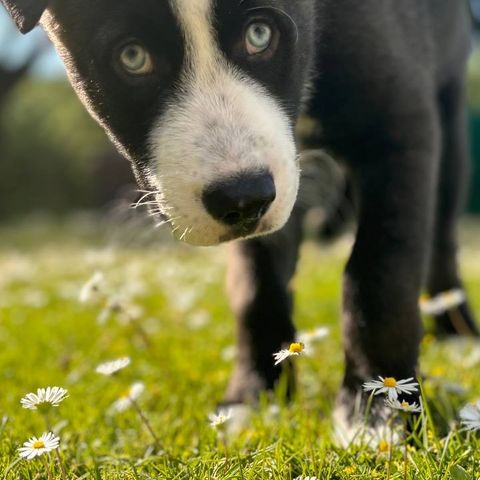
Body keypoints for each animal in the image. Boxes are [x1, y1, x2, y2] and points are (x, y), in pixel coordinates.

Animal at [1, 0, 478, 432]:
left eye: (260, 35)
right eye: (132, 57)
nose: (244, 200)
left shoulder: (397, 126)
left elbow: (380, 275)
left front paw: (379, 413)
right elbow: (255, 283)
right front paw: (254, 400)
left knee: (440, 241)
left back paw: (456, 334)